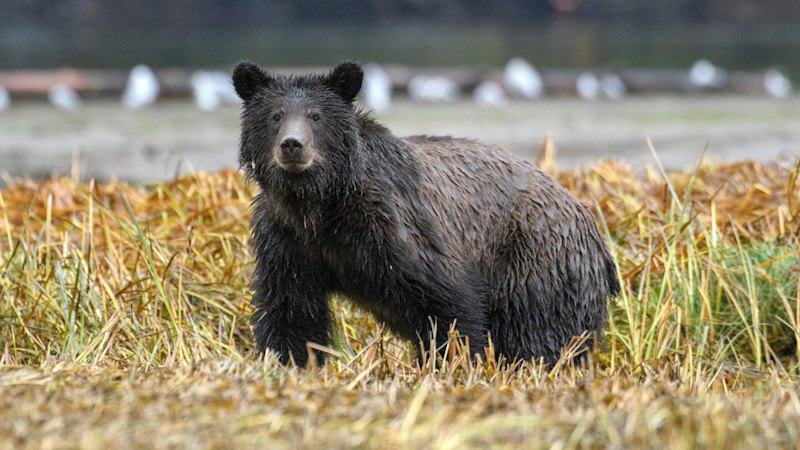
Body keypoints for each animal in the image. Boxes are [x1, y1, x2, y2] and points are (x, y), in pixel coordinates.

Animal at [232, 60, 620, 367]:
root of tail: (588, 219)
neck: (320, 204)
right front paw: (288, 362)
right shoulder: (288, 241)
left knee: (540, 334)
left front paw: (451, 363)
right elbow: (291, 312)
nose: (292, 145)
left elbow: (449, 305)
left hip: (536, 261)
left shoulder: (395, 230)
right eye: (275, 116)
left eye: (316, 116)